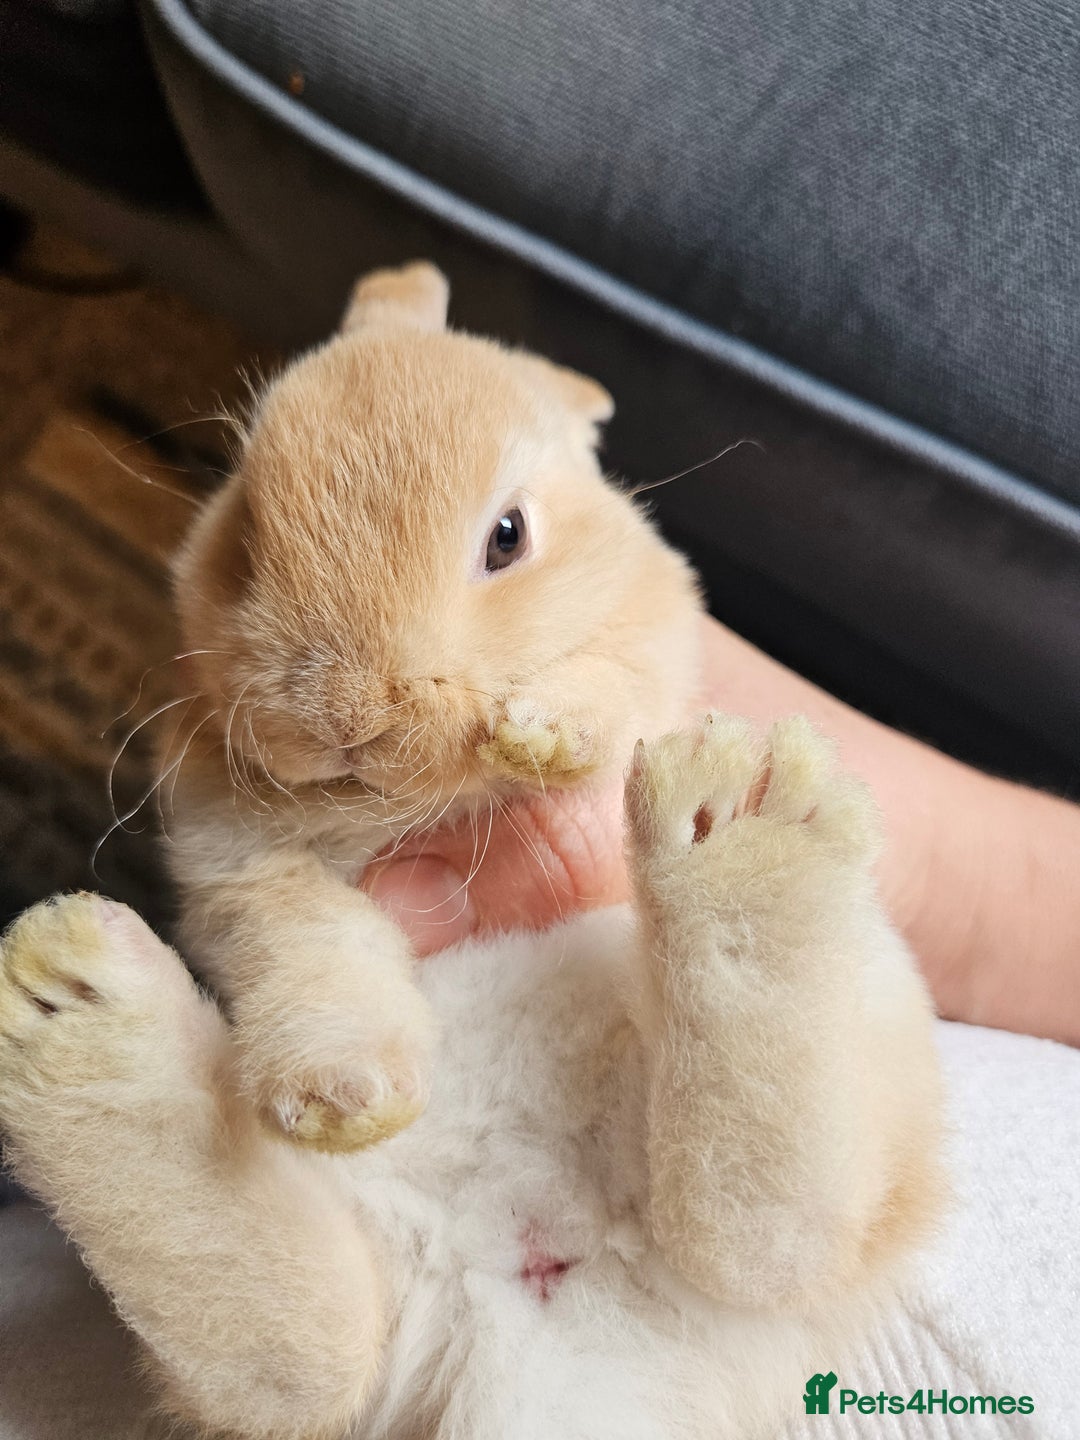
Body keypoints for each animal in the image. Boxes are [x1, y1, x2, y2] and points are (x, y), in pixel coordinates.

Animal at [0, 263, 944, 1440]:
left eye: (507, 537)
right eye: (246, 539)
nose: (349, 712)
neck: (402, 802)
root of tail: (529, 1304)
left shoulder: (652, 653)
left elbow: (606, 695)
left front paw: (543, 732)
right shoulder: (243, 875)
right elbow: (315, 954)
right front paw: (342, 1096)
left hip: (876, 1052)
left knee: (778, 1233)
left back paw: (739, 815)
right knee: (301, 1363)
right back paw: (73, 1005)